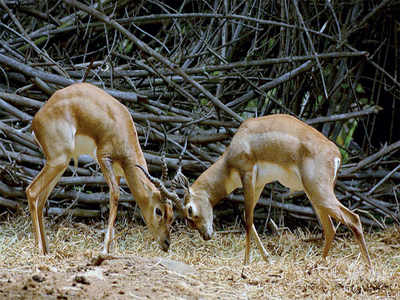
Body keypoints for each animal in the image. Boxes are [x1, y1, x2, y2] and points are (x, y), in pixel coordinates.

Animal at [25, 82, 180, 255]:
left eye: (172, 215)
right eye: (158, 211)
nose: (166, 243)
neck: (121, 125)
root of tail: (37, 119)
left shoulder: (118, 173)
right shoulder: (103, 158)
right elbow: (115, 195)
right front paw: (105, 249)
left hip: (61, 165)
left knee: (41, 200)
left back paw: (47, 250)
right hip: (58, 161)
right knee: (32, 191)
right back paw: (38, 248)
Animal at [183, 114, 370, 264]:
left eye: (190, 210)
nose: (206, 236)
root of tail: (336, 154)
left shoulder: (247, 176)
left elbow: (248, 220)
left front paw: (246, 262)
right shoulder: (259, 184)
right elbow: (248, 218)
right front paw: (267, 258)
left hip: (319, 194)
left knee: (353, 219)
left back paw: (369, 268)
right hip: (315, 197)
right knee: (330, 228)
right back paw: (318, 264)